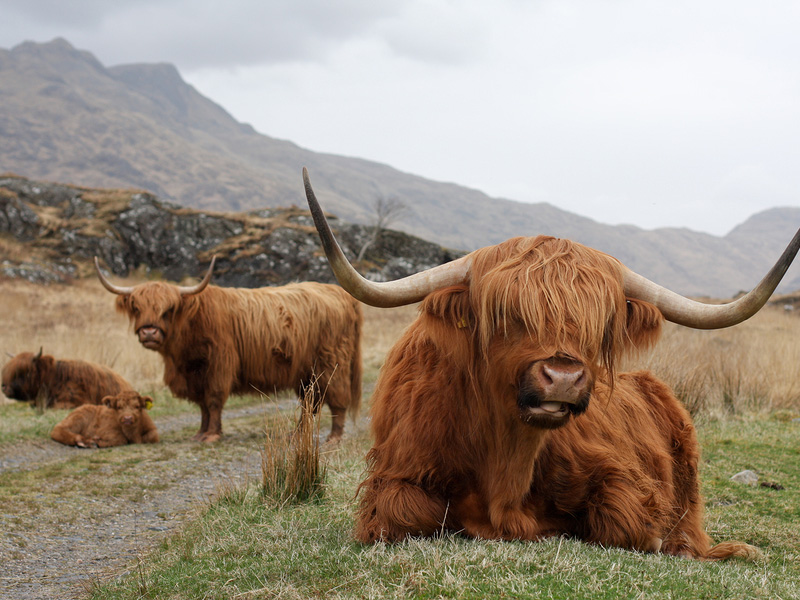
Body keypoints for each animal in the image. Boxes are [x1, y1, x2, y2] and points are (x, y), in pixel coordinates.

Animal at [94, 255, 366, 442]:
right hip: (307, 373)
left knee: (337, 399)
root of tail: (340, 292)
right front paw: (200, 433)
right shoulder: (195, 375)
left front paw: (212, 435)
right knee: (311, 402)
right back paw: (297, 434)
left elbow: (213, 400)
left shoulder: (218, 364)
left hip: (332, 363)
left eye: (168, 309)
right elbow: (202, 405)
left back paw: (334, 438)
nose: (149, 332)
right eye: (137, 307)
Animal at [302, 168, 800, 556]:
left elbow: (628, 523)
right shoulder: (397, 473)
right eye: (507, 315)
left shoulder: (617, 471)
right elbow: (403, 514)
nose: (563, 377)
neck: (504, 465)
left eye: (599, 325)